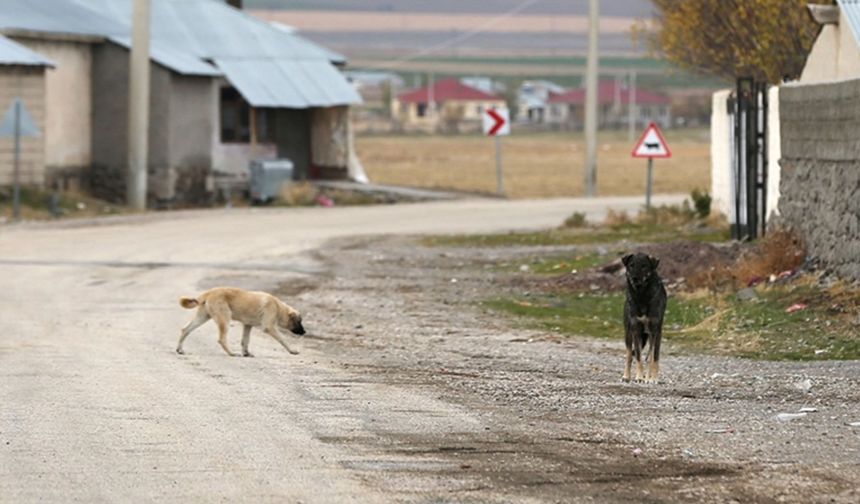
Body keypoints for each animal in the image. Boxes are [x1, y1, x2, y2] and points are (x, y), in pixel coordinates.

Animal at [175, 288, 306, 358]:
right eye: (299, 321)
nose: (304, 332)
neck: (279, 308)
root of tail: (208, 293)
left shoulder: (247, 325)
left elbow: (245, 340)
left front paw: (246, 353)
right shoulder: (269, 327)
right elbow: (283, 339)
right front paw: (292, 350)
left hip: (202, 317)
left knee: (185, 329)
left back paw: (180, 349)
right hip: (224, 319)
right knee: (221, 339)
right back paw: (231, 353)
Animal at [620, 252, 668, 382]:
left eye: (644, 266)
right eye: (631, 265)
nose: (634, 278)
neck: (642, 296)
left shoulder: (656, 331)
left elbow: (653, 357)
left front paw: (653, 378)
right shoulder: (635, 330)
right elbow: (638, 356)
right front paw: (639, 377)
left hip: (648, 336)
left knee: (648, 356)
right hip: (629, 333)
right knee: (629, 355)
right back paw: (626, 376)